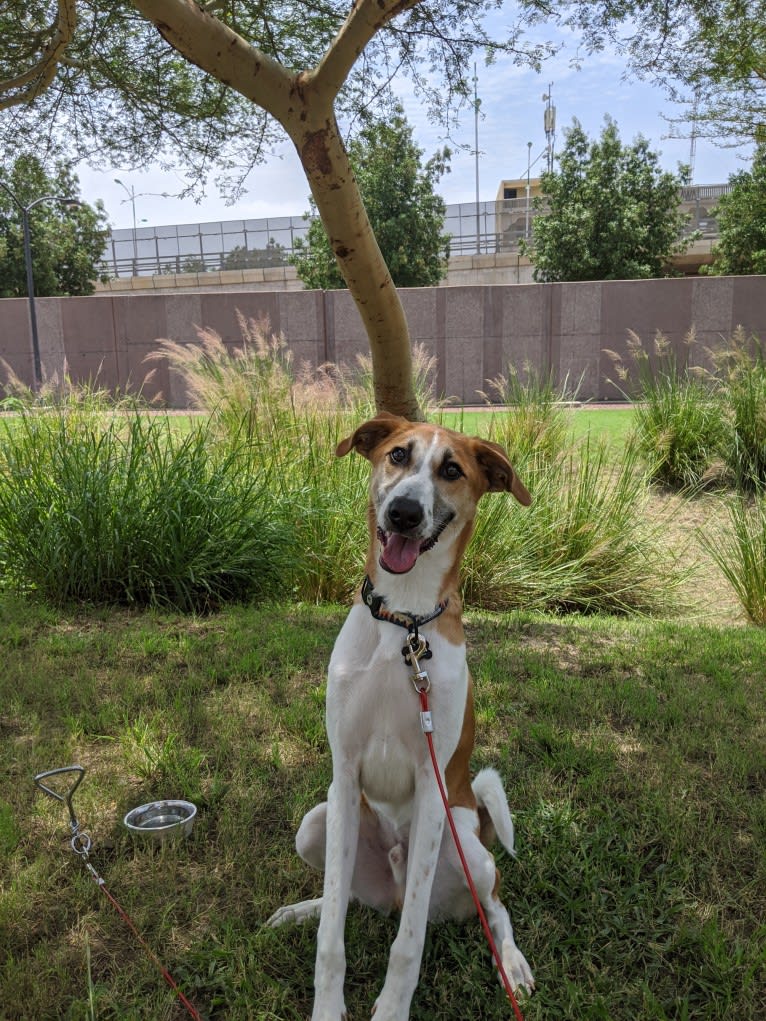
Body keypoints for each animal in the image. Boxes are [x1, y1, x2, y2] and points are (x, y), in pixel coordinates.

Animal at [273, 410, 535, 1016]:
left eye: (452, 470)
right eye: (397, 455)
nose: (404, 513)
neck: (406, 622)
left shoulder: (431, 784)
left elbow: (409, 941)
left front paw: (392, 1008)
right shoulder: (344, 777)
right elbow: (332, 935)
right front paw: (328, 1006)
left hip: (467, 843)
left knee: (495, 908)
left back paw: (511, 963)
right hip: (316, 823)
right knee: (345, 898)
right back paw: (301, 911)